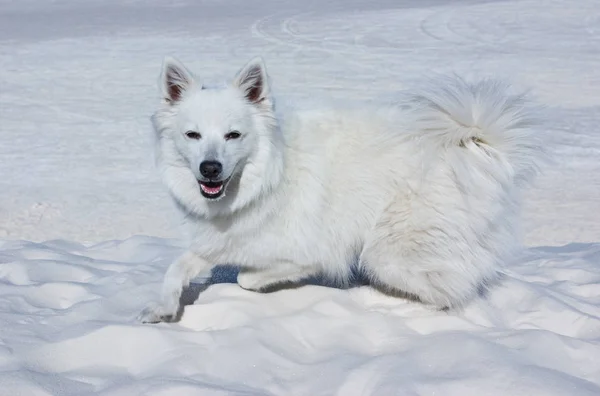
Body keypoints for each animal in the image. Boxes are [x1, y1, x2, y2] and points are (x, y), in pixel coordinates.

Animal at [138, 55, 540, 322]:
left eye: (233, 135)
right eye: (192, 135)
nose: (210, 168)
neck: (266, 177)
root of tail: (473, 145)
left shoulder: (308, 251)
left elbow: (246, 278)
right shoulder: (221, 239)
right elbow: (177, 266)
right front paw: (161, 309)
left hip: (389, 253)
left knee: (452, 290)